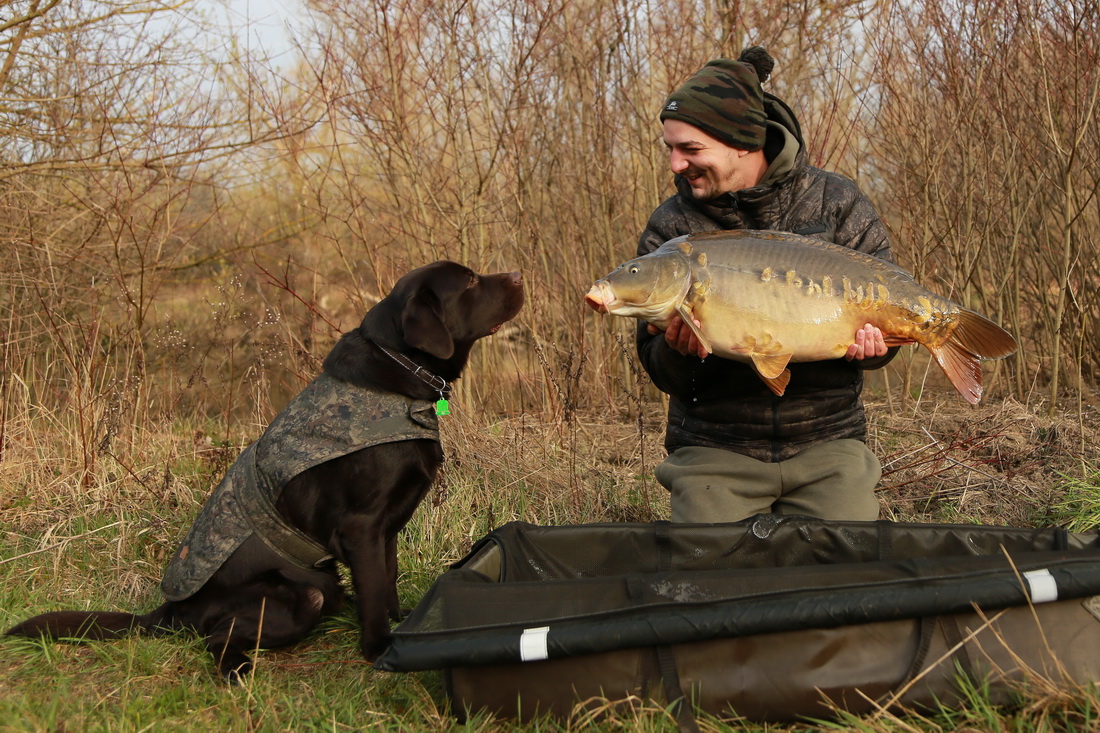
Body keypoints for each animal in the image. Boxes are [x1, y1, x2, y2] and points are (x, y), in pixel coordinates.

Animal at [5, 259, 523, 677]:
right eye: (470, 280)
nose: (519, 275)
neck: (398, 380)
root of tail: (166, 612)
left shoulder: (386, 530)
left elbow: (387, 581)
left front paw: (405, 625)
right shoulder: (361, 527)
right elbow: (376, 593)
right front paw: (380, 650)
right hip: (301, 595)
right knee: (217, 639)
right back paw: (237, 670)